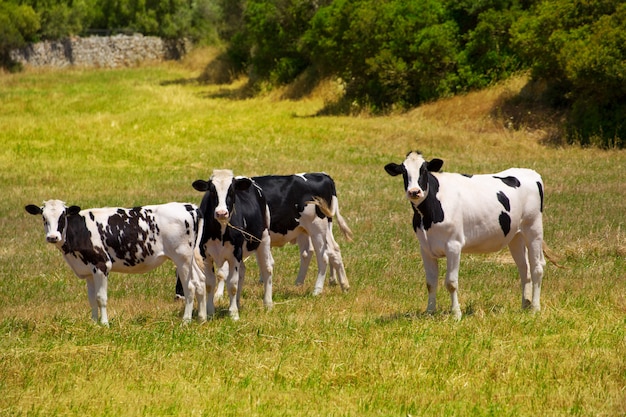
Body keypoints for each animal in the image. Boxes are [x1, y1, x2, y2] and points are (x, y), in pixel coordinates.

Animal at [25, 199, 205, 324]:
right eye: (43, 217)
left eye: (62, 216)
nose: (52, 237)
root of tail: (189, 206)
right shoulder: (88, 271)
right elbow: (92, 299)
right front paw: (93, 323)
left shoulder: (102, 265)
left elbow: (101, 298)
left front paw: (104, 324)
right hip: (190, 259)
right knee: (200, 282)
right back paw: (202, 318)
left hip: (181, 258)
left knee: (190, 287)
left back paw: (186, 321)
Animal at [174, 171, 352, 298]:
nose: (178, 296)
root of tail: (322, 175)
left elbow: (222, 271)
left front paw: (218, 295)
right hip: (308, 229)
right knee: (320, 252)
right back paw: (334, 284)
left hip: (317, 227)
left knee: (324, 255)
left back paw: (317, 290)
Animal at [193, 168, 272, 318]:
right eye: (212, 191)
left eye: (232, 191)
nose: (221, 213)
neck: (220, 232)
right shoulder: (205, 254)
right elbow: (210, 283)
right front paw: (210, 312)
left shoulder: (235, 254)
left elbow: (232, 284)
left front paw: (233, 313)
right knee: (242, 272)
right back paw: (238, 303)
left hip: (264, 239)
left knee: (267, 270)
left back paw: (268, 303)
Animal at [382, 152, 544, 318]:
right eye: (404, 172)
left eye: (424, 170)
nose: (414, 191)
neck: (427, 215)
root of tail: (530, 172)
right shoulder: (425, 248)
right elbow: (430, 282)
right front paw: (429, 312)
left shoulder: (453, 245)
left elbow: (451, 283)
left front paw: (456, 313)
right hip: (515, 236)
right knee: (524, 268)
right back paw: (525, 305)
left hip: (533, 228)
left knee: (537, 268)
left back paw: (535, 308)